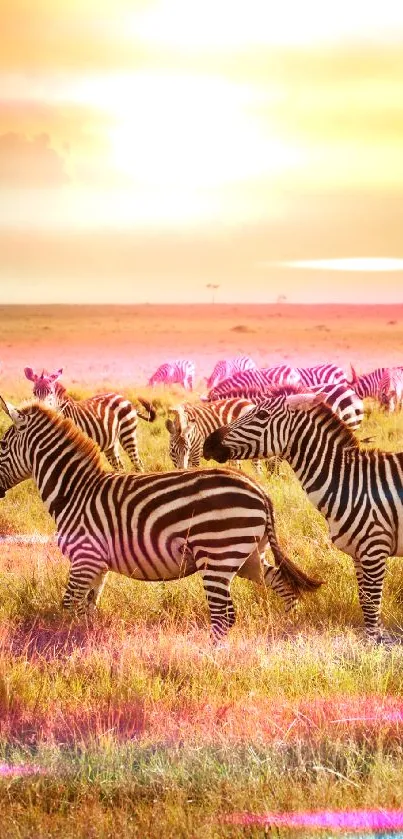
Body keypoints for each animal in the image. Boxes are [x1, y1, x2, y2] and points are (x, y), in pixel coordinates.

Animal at [0, 398, 322, 640]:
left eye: (1, 446)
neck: (75, 491)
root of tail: (260, 490)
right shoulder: (97, 565)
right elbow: (87, 610)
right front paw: (84, 641)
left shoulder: (84, 559)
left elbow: (68, 606)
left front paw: (67, 648)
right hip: (248, 556)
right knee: (283, 585)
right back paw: (286, 628)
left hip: (217, 556)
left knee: (224, 615)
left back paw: (210, 658)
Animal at [23, 368, 156, 472]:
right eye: (34, 392)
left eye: (50, 392)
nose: (42, 407)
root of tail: (125, 399)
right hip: (111, 443)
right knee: (120, 466)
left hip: (127, 433)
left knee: (138, 463)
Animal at [205, 386, 403, 644]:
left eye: (262, 415)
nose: (208, 443)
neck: (350, 483)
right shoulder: (360, 555)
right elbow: (365, 602)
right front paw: (375, 644)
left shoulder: (374, 549)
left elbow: (371, 609)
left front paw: (373, 648)